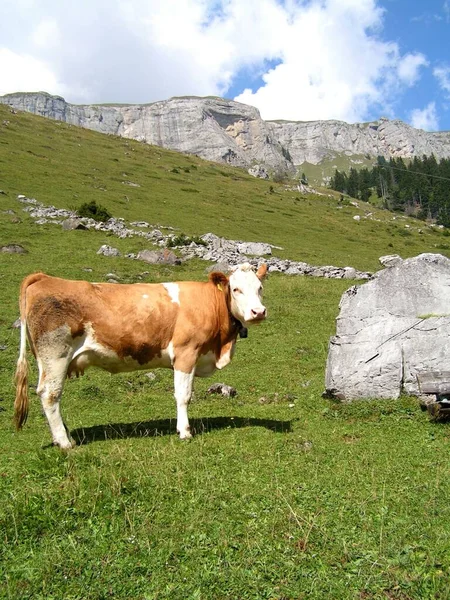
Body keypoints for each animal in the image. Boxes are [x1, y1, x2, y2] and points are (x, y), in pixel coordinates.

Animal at [13, 264, 268, 450]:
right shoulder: (186, 353)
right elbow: (183, 396)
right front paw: (185, 431)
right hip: (56, 355)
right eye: (235, 289)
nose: (258, 312)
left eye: (260, 288)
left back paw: (64, 436)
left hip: (46, 360)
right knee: (50, 395)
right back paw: (65, 442)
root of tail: (44, 278)